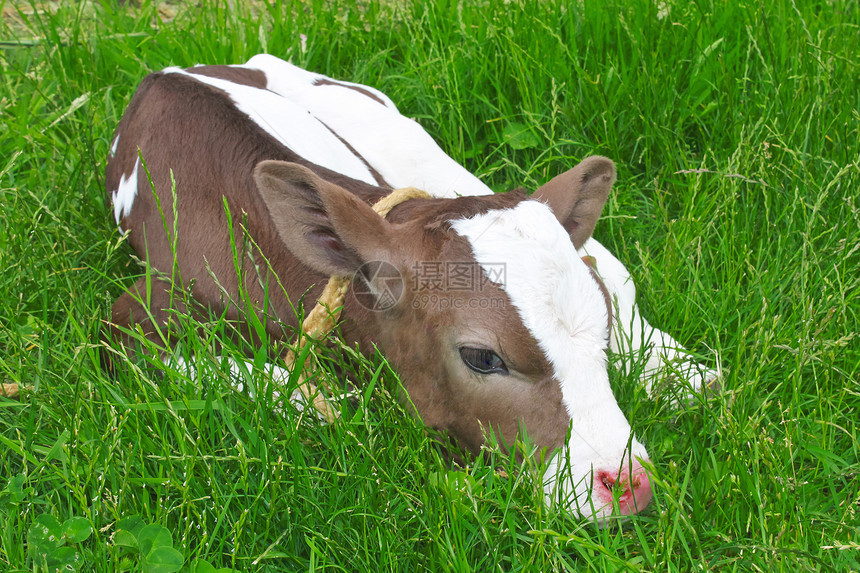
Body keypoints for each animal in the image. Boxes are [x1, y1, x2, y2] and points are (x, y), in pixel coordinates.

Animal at [107, 53, 708, 524]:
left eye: (600, 329)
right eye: (482, 358)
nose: (628, 483)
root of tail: (174, 70)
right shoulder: (132, 319)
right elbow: (309, 397)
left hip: (406, 138)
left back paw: (684, 373)